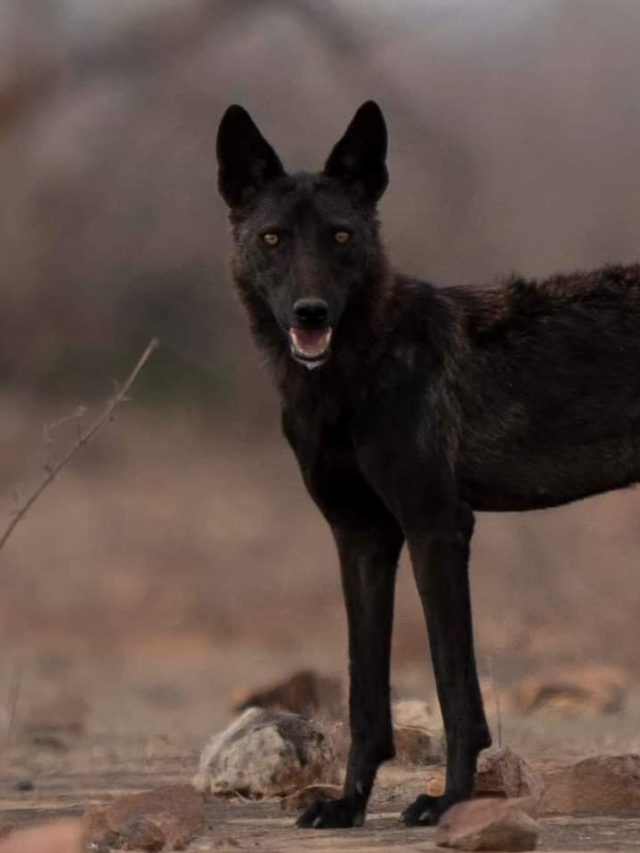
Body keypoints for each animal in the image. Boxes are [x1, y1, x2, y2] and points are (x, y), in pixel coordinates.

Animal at [215, 100, 640, 828]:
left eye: (341, 236)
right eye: (272, 239)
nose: (310, 312)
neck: (354, 375)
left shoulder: (436, 526)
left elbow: (453, 686)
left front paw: (451, 800)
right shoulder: (361, 539)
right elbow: (364, 695)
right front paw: (348, 805)